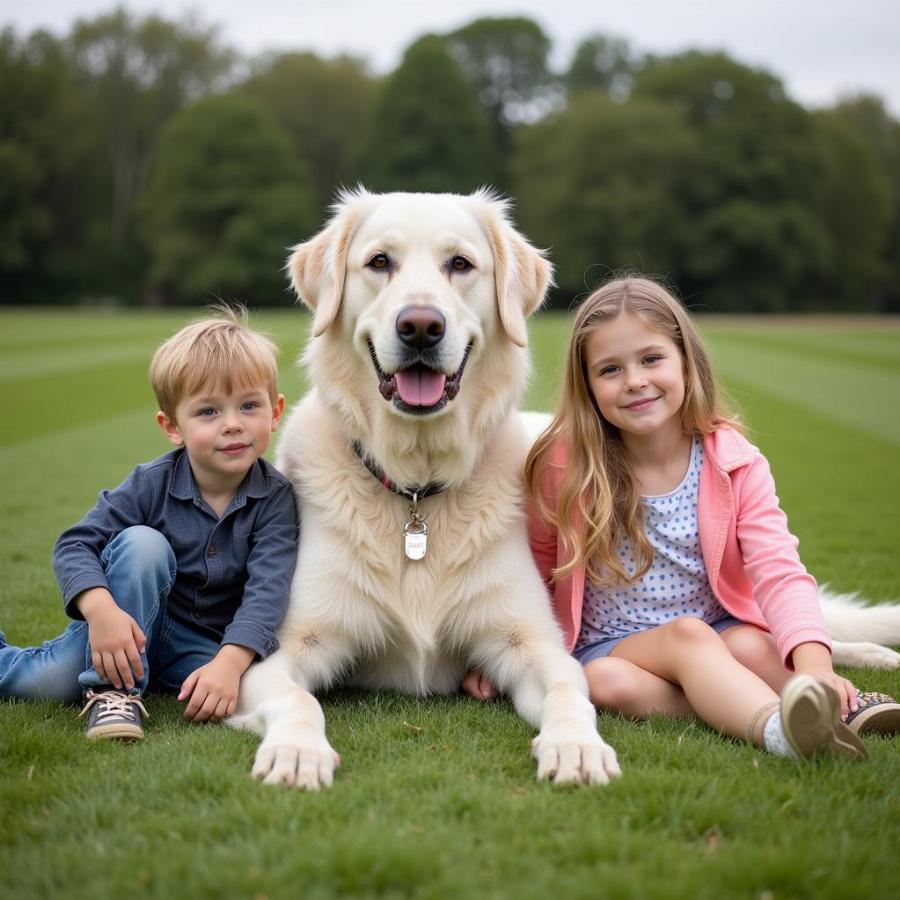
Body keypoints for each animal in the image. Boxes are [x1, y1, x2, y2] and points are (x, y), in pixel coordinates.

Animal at [232, 188, 900, 788]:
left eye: (460, 265)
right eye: (379, 263)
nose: (421, 326)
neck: (417, 492)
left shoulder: (536, 644)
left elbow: (567, 695)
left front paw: (577, 748)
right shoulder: (276, 653)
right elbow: (299, 700)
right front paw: (297, 753)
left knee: (797, 622)